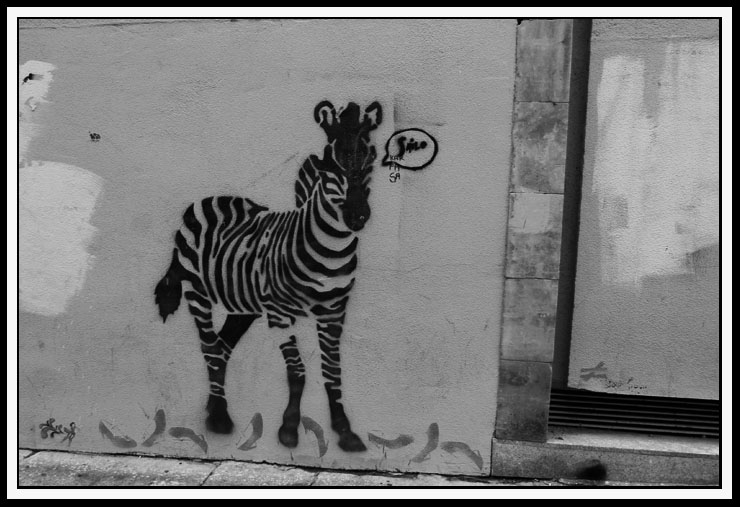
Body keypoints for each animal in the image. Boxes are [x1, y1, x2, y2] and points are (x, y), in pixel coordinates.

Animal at [154, 101, 382, 453]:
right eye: (329, 166)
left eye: (371, 158)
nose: (358, 216)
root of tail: (208, 200)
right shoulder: (280, 312)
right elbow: (297, 373)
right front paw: (288, 430)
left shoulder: (335, 310)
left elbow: (332, 370)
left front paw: (345, 432)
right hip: (197, 293)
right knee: (209, 348)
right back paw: (220, 420)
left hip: (242, 305)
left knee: (222, 348)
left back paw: (214, 411)